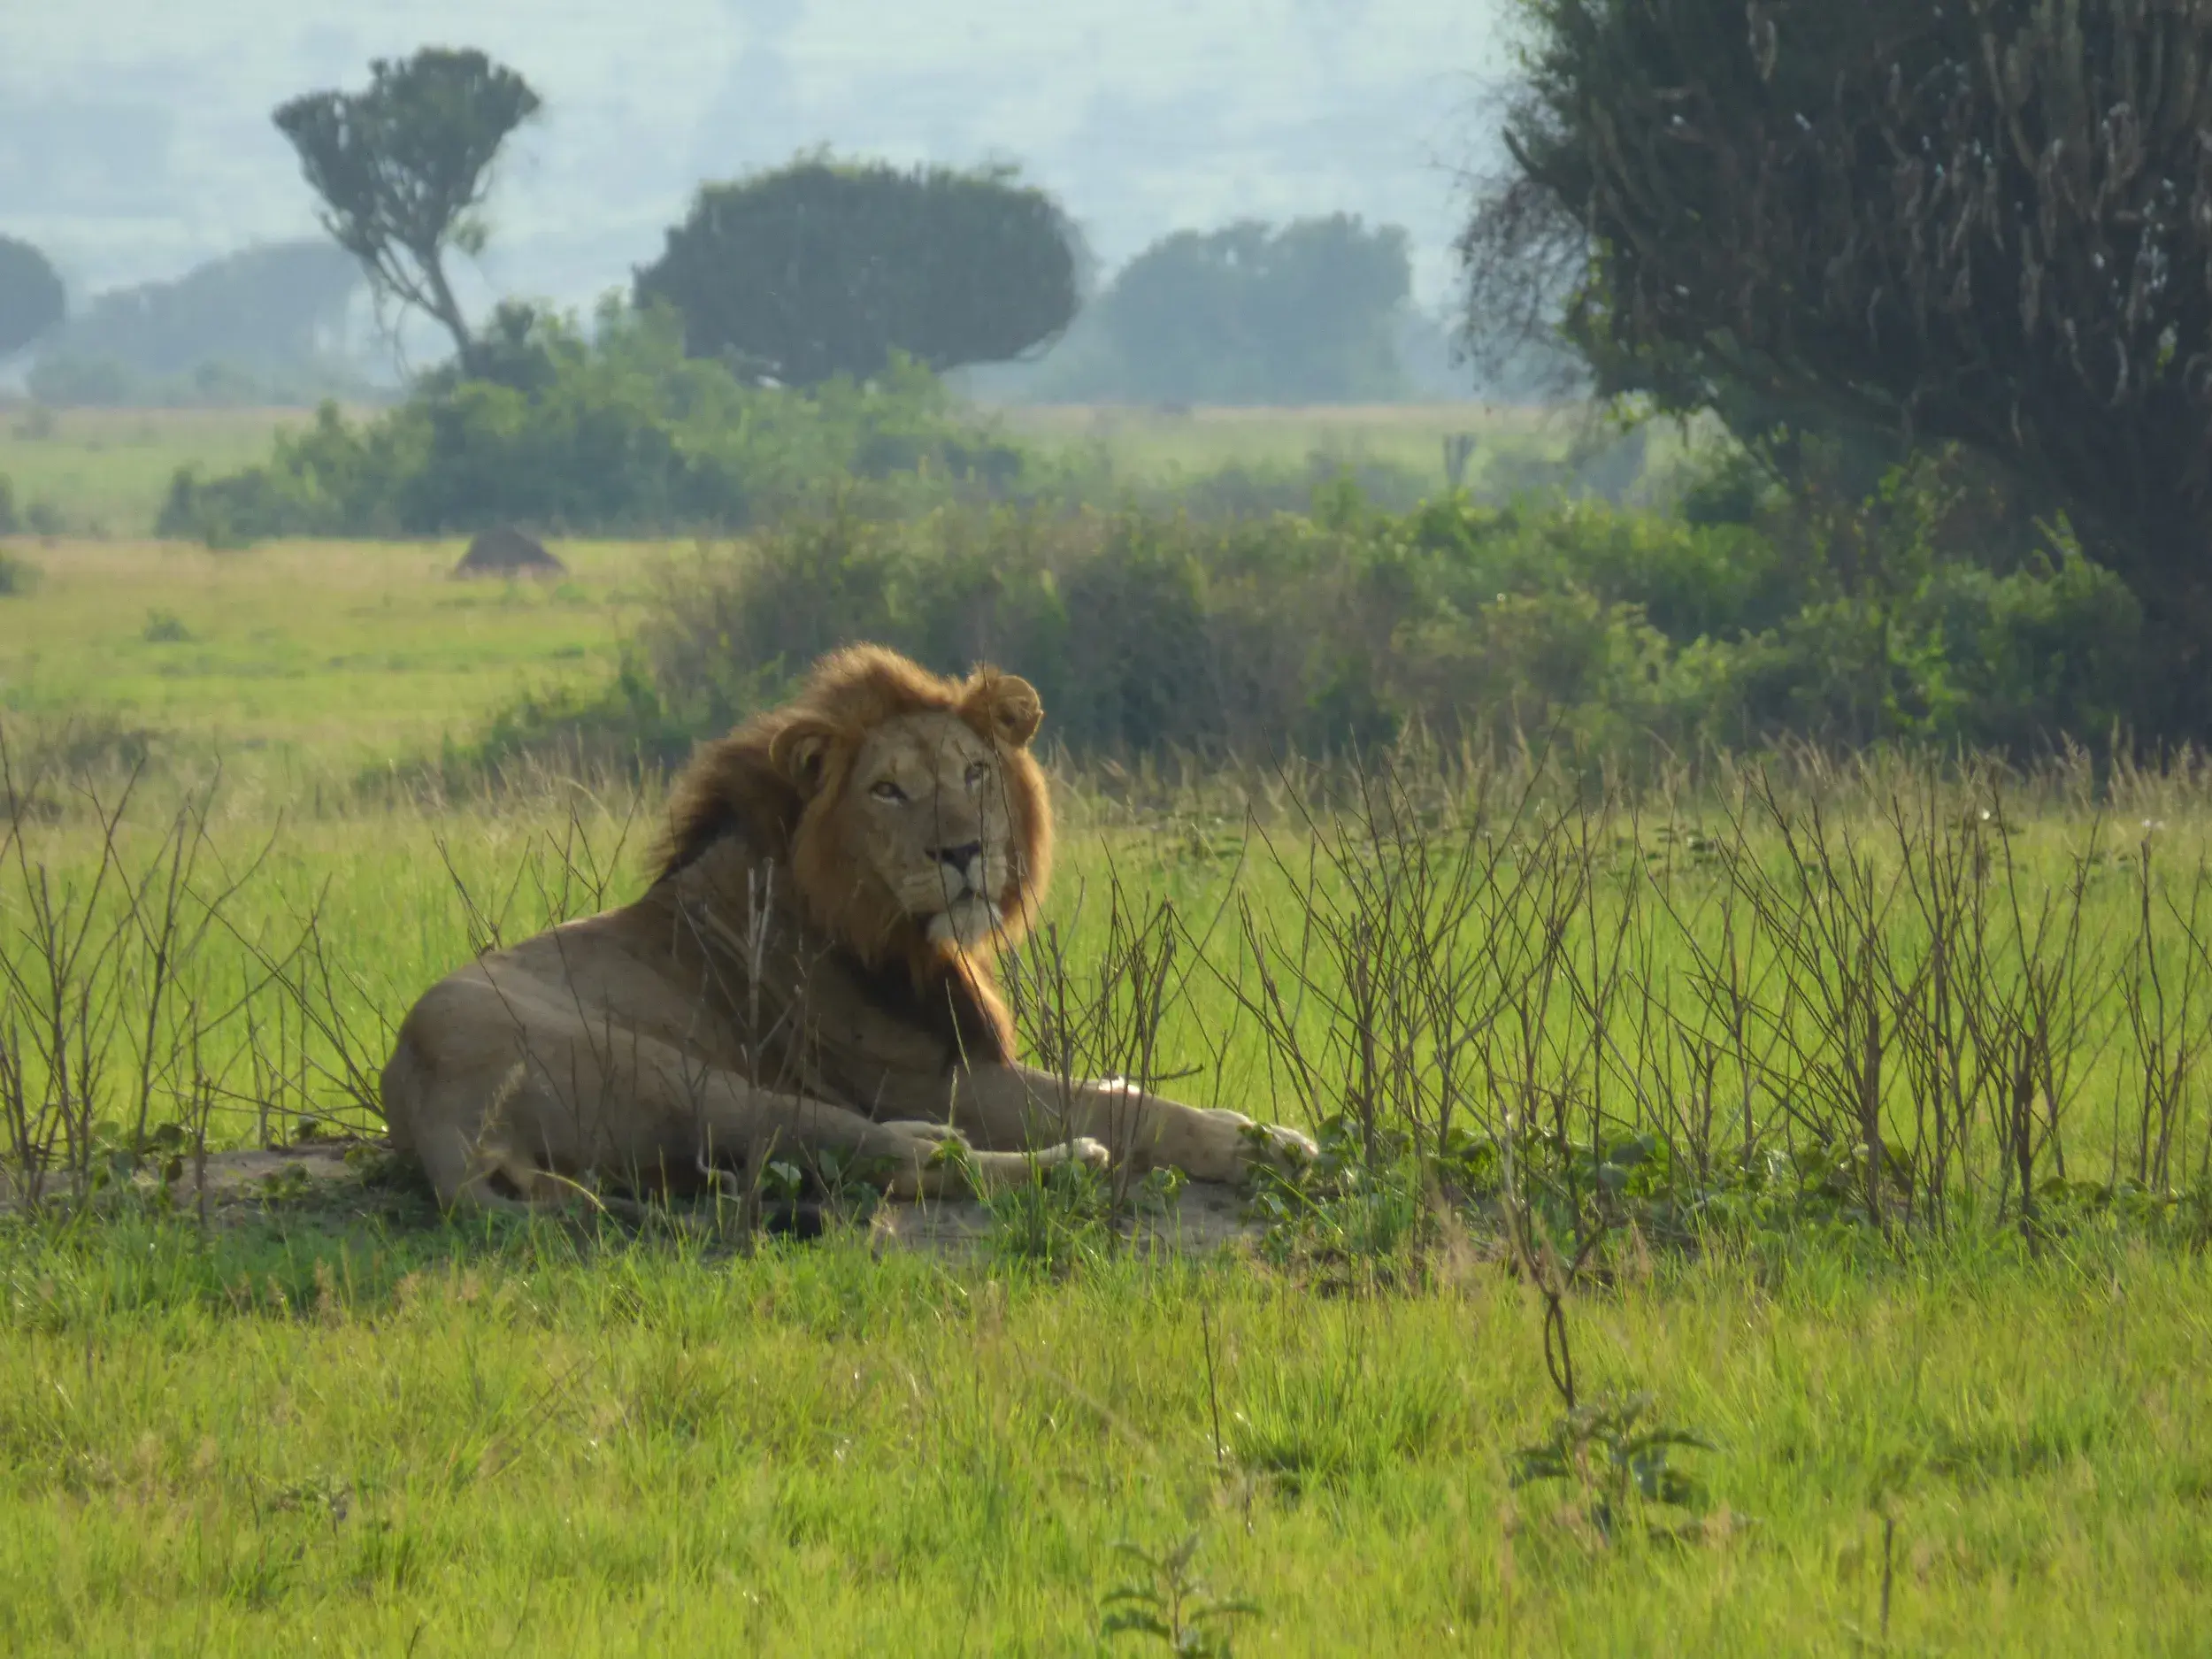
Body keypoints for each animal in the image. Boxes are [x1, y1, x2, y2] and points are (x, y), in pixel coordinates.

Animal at [381, 643, 1317, 1211]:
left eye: (974, 771)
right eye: (888, 790)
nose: (963, 850)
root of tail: (435, 1119)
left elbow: (1117, 1081)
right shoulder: (934, 1077)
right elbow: (1123, 1104)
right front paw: (1266, 1145)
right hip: (688, 1078)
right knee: (889, 1160)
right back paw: (1065, 1162)